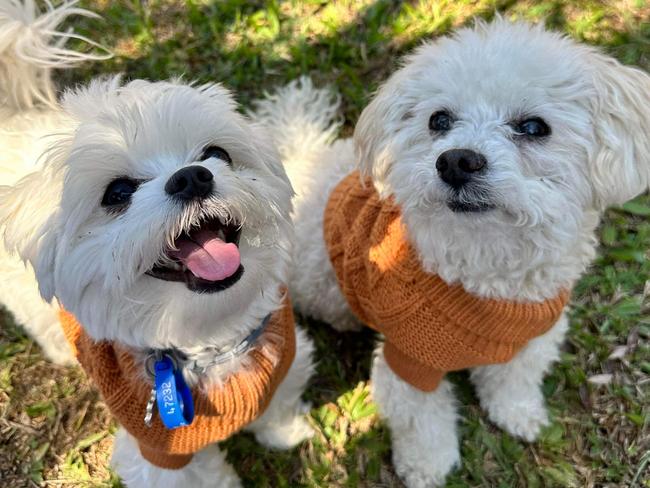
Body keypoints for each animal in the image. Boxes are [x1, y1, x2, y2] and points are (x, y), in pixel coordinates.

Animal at [0, 1, 314, 486]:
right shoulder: (155, 450)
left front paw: (284, 432)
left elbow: (279, 404)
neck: (212, 345)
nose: (191, 177)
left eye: (216, 155)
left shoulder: (284, 362)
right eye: (117, 192)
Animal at [253, 20, 648, 488]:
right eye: (438, 120)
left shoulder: (534, 336)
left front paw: (519, 414)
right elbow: (422, 420)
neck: (487, 270)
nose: (456, 161)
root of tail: (304, 162)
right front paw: (427, 466)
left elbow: (516, 378)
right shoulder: (409, 360)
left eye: (534, 127)